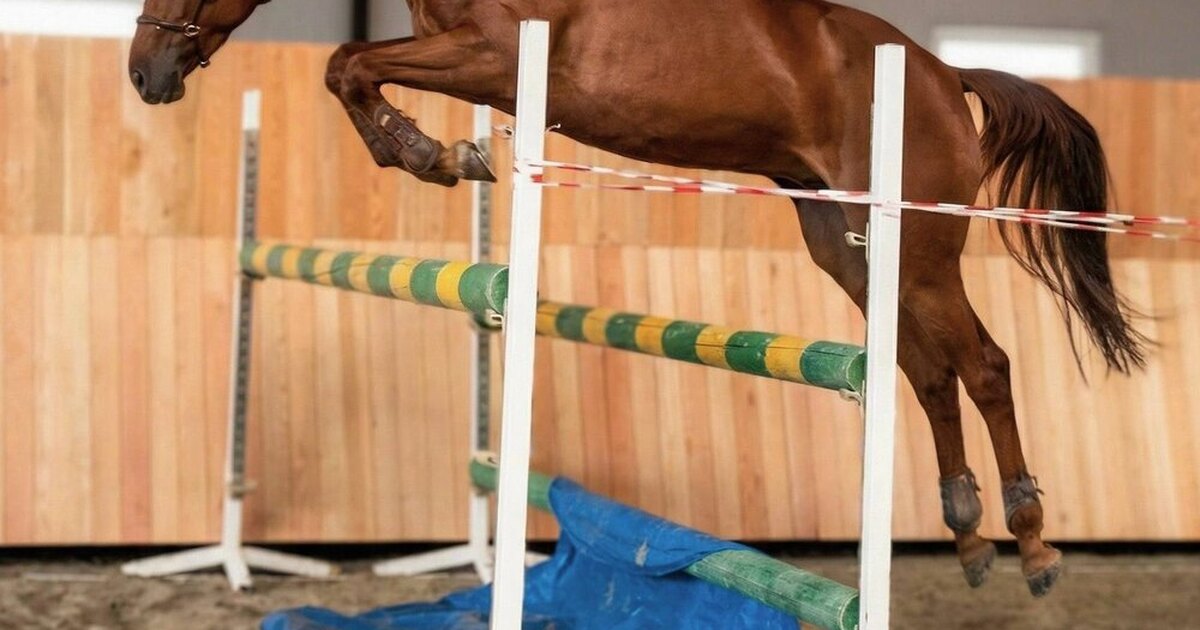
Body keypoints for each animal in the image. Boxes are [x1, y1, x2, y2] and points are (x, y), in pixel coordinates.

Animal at [128, 0, 1148, 597]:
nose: (145, 73)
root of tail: (943, 74)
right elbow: (347, 64)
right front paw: (440, 153)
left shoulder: (496, 53)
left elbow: (346, 58)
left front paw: (430, 153)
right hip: (847, 244)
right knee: (928, 372)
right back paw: (968, 534)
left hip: (923, 247)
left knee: (983, 364)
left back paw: (1032, 545)